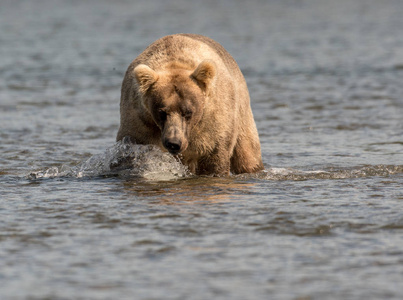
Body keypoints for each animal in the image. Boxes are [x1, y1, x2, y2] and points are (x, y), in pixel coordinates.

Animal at [116, 34, 266, 176]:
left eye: (188, 112)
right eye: (162, 112)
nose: (174, 143)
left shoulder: (212, 124)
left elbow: (214, 159)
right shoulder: (140, 122)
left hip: (241, 111)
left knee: (247, 153)